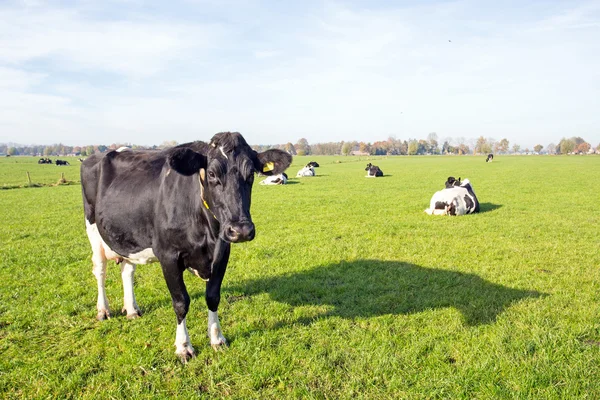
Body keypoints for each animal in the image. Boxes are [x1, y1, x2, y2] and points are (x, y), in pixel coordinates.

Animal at [80, 132, 292, 362]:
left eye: (251, 173)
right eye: (211, 173)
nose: (241, 230)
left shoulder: (222, 252)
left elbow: (213, 297)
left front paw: (217, 339)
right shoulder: (168, 256)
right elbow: (181, 302)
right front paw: (183, 346)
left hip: (127, 237)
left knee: (127, 270)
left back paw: (131, 310)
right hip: (93, 229)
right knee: (99, 270)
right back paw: (103, 310)